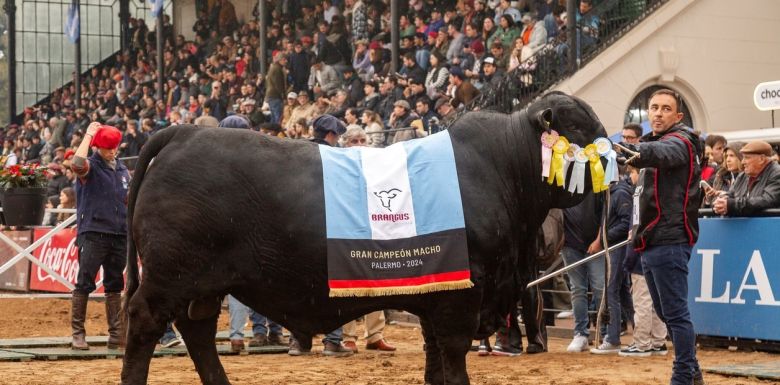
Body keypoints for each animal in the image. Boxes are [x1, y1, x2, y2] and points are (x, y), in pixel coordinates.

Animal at [120, 91, 608, 382]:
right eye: (581, 128)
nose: (617, 153)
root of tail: (184, 131)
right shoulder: (462, 297)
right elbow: (453, 356)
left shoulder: (435, 294)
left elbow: (434, 359)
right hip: (169, 276)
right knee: (146, 323)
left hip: (203, 283)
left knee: (198, 330)